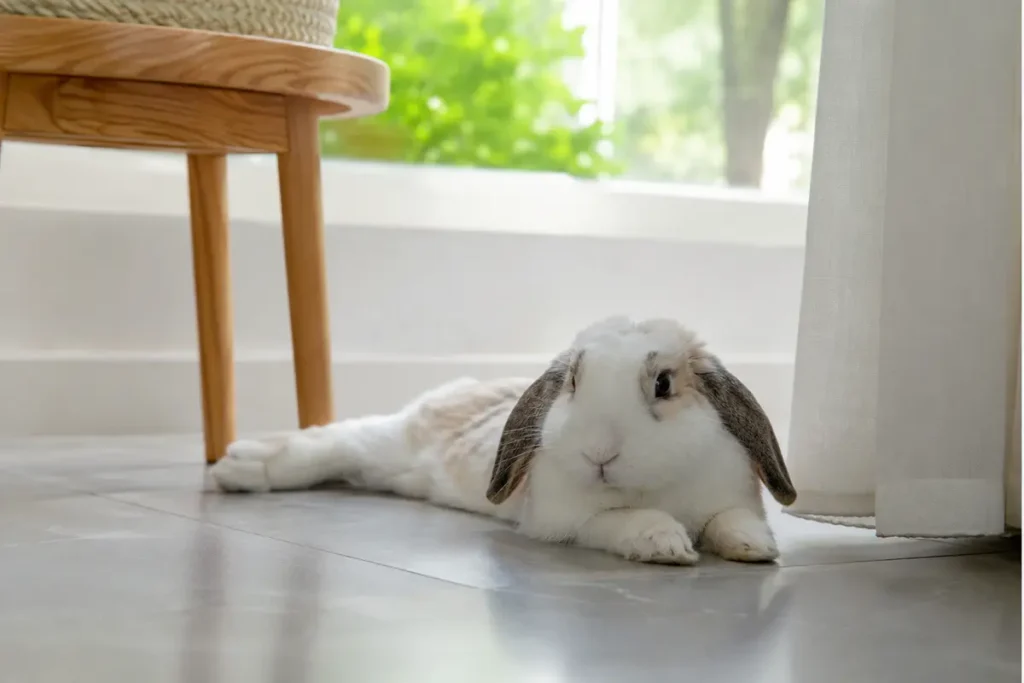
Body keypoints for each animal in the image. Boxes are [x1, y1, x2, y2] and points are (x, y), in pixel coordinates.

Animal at [210, 316, 797, 565]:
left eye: (664, 384)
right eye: (573, 382)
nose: (598, 454)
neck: (656, 482)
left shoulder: (734, 497)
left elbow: (731, 521)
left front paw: (754, 549)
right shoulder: (564, 520)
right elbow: (624, 520)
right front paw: (666, 546)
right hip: (388, 441)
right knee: (332, 441)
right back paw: (237, 467)